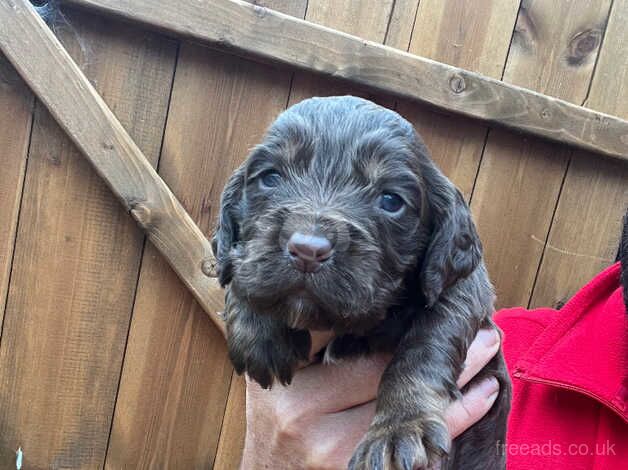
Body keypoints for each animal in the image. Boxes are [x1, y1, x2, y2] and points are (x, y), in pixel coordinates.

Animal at [213, 96, 512, 470]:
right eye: (270, 177)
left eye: (391, 200)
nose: (307, 250)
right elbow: (240, 272)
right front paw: (260, 336)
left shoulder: (464, 288)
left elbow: (426, 344)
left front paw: (399, 429)